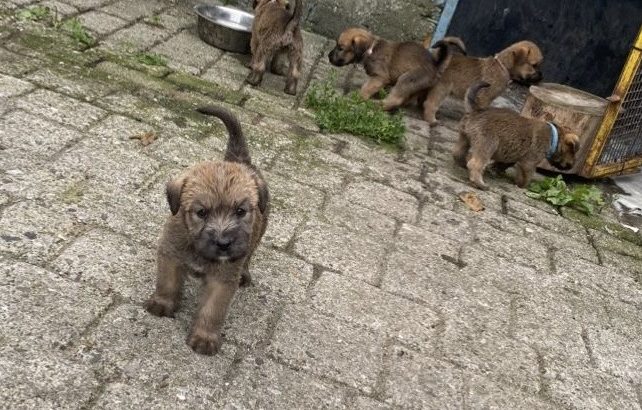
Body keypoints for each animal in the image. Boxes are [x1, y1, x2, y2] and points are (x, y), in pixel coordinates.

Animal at [145, 105, 268, 356]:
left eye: (240, 211)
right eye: (201, 212)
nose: (223, 243)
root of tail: (241, 160)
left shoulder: (223, 278)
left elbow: (212, 310)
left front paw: (204, 337)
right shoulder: (170, 254)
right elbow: (167, 282)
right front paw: (162, 303)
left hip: (257, 236)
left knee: (249, 254)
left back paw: (245, 274)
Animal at [328, 27, 462, 114]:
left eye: (340, 48)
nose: (328, 56)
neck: (371, 48)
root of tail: (435, 66)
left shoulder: (379, 77)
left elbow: (366, 87)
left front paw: (358, 97)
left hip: (407, 79)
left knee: (394, 100)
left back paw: (376, 104)